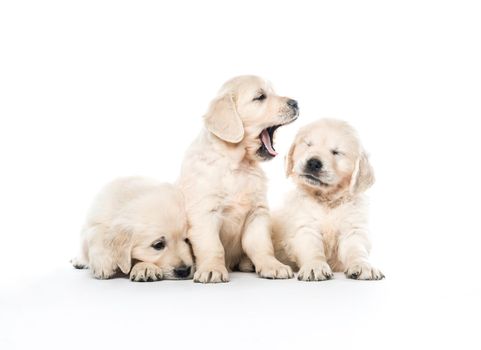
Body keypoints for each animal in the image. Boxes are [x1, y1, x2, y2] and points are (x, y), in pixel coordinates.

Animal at [179, 75, 298, 284]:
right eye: (260, 97)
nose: (296, 103)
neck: (237, 164)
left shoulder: (257, 213)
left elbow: (261, 245)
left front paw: (272, 265)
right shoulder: (205, 214)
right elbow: (213, 246)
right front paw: (212, 269)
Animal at [272, 119, 384, 280]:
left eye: (336, 152)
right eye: (308, 144)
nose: (313, 163)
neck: (327, 200)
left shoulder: (353, 229)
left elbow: (357, 249)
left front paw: (363, 266)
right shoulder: (304, 227)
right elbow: (312, 250)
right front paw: (315, 266)